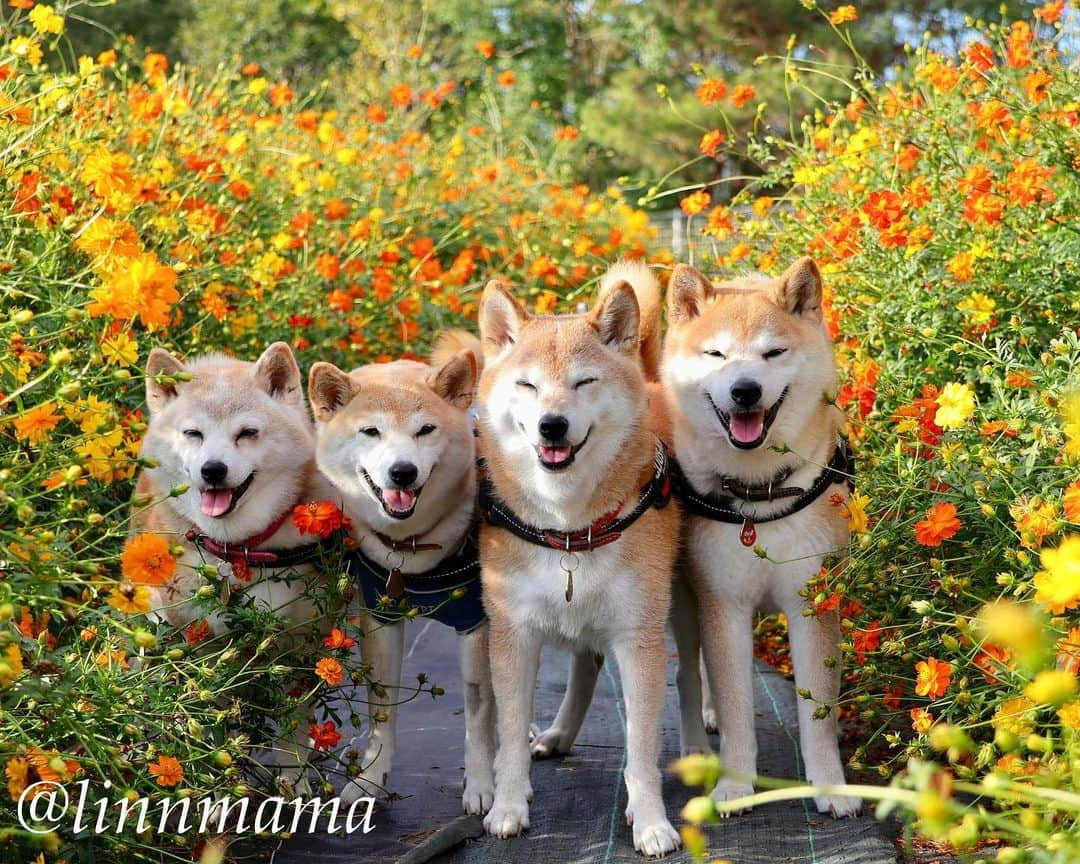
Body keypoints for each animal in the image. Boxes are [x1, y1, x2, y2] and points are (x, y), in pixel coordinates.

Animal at [134, 341, 339, 786]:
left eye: (247, 433)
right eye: (193, 434)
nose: (213, 469)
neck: (235, 551)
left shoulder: (299, 641)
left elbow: (293, 722)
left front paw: (293, 780)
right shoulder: (198, 644)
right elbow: (207, 715)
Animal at [306, 347, 494, 812]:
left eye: (425, 430)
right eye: (370, 431)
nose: (403, 471)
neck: (412, 550)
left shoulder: (477, 623)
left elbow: (480, 714)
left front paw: (483, 784)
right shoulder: (380, 618)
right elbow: (381, 709)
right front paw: (371, 779)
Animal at [475, 261, 678, 855]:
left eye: (584, 382)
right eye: (527, 385)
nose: (553, 425)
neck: (568, 530)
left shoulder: (639, 637)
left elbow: (642, 750)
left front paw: (651, 821)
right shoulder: (512, 634)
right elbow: (509, 739)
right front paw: (508, 807)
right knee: (585, 664)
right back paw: (560, 734)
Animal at [656, 257, 859, 816]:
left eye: (773, 353)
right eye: (716, 354)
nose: (744, 389)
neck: (761, 495)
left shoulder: (811, 600)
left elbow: (818, 712)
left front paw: (829, 785)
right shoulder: (722, 603)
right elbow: (736, 705)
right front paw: (734, 785)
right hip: (683, 600)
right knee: (689, 675)